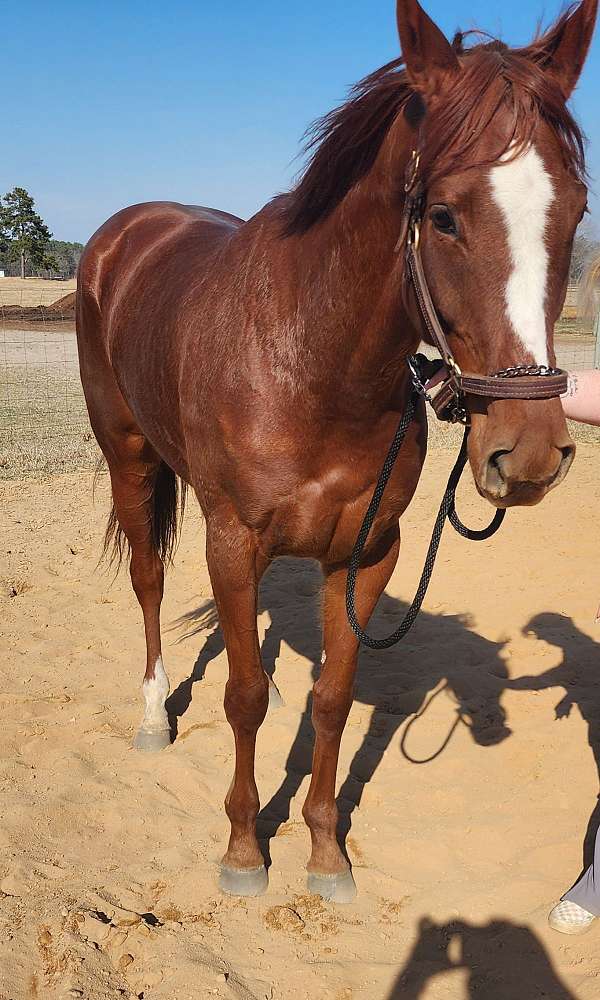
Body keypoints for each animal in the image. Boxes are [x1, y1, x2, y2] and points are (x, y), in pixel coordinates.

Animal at [78, 0, 596, 908]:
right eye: (444, 215)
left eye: (574, 211)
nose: (527, 455)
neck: (310, 360)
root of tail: (127, 230)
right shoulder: (231, 540)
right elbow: (243, 698)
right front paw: (245, 849)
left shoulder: (366, 551)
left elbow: (333, 697)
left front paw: (324, 853)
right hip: (130, 457)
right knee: (147, 583)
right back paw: (151, 718)